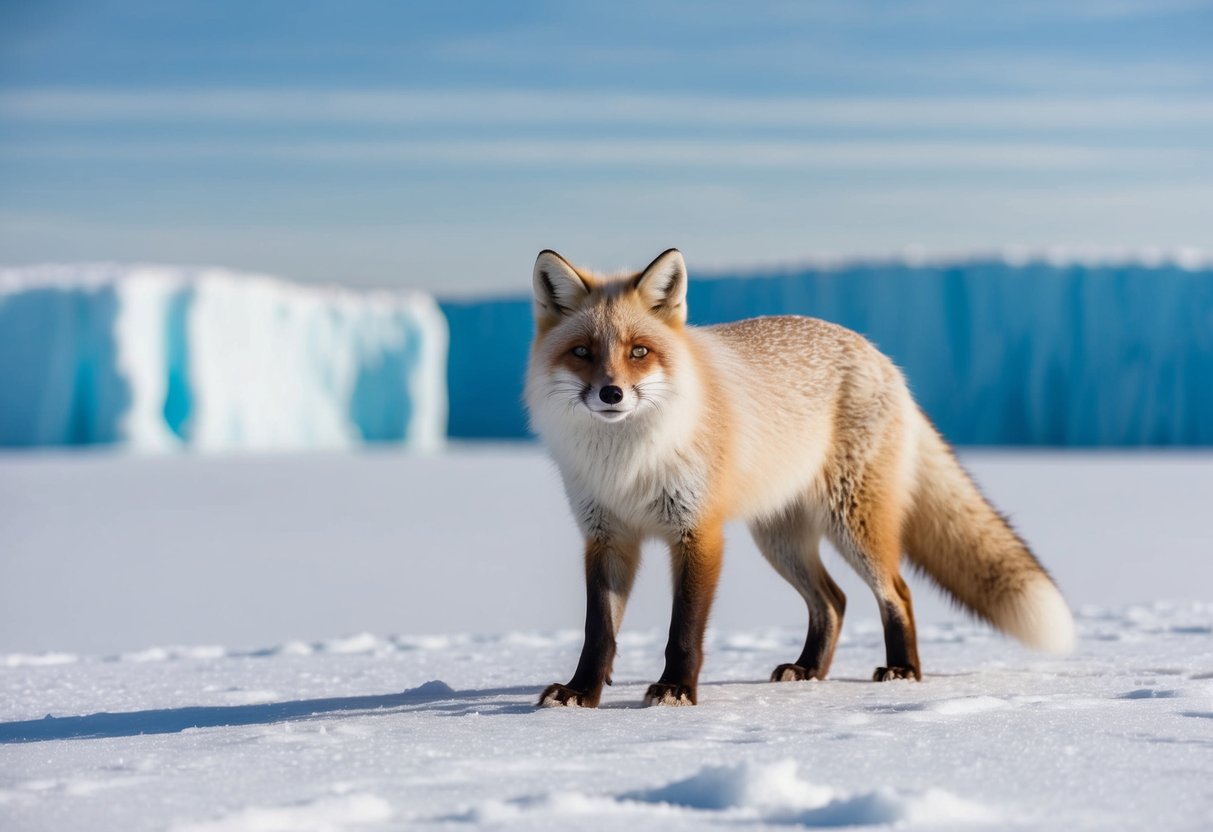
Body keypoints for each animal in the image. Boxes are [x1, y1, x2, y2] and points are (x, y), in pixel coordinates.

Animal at [525, 248, 1076, 708]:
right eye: (582, 352)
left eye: (639, 351)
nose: (611, 394)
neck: (627, 462)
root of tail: (881, 356)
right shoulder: (607, 535)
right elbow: (599, 631)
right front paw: (581, 692)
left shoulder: (698, 531)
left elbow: (683, 629)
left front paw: (676, 690)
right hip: (780, 539)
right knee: (833, 601)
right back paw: (809, 669)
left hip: (852, 525)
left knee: (896, 592)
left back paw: (902, 671)